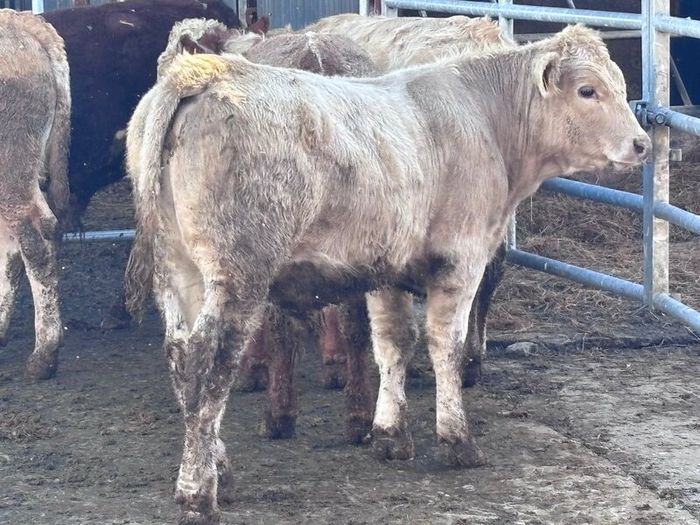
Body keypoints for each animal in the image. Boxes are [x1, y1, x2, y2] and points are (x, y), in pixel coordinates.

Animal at [124, 25, 650, 524]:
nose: (642, 143)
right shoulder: (461, 258)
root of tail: (204, 74)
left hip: (180, 272)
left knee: (181, 359)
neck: (484, 118)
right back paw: (199, 493)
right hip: (239, 274)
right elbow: (445, 343)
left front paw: (389, 434)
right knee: (208, 364)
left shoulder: (386, 269)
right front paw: (456, 440)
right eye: (587, 90)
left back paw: (222, 473)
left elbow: (392, 342)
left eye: (621, 85)